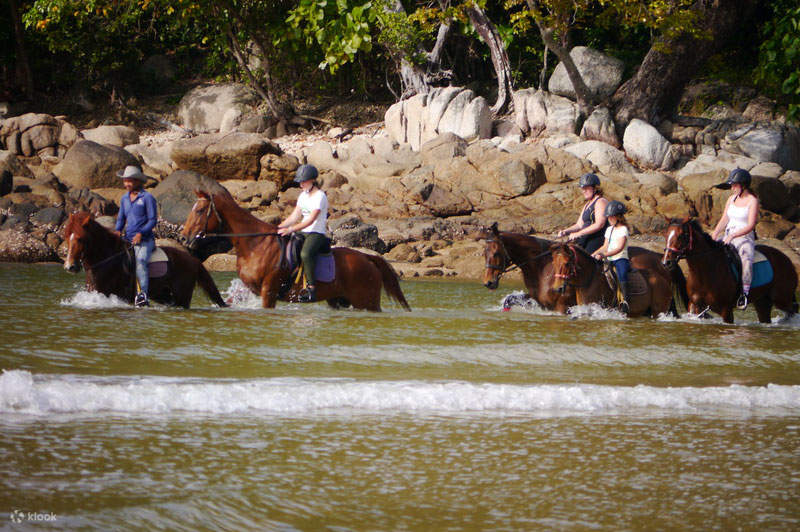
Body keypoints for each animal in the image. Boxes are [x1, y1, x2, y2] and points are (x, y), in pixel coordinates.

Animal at [63, 211, 227, 308]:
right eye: (66, 236)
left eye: (80, 238)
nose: (70, 266)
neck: (107, 260)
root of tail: (193, 260)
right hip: (164, 295)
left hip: (182, 296)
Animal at [178, 188, 411, 312]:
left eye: (199, 211)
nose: (183, 237)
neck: (255, 245)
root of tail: (368, 259)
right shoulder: (249, 288)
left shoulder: (269, 291)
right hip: (338, 300)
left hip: (367, 302)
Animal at [550, 242, 680, 317]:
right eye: (553, 263)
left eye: (566, 263)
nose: (557, 288)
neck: (590, 280)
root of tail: (665, 280)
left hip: (658, 311)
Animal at [662, 218, 798, 323]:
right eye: (666, 235)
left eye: (681, 236)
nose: (666, 262)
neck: (705, 271)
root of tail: (787, 259)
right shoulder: (695, 306)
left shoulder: (726, 310)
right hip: (762, 302)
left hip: (782, 299)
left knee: (793, 310)